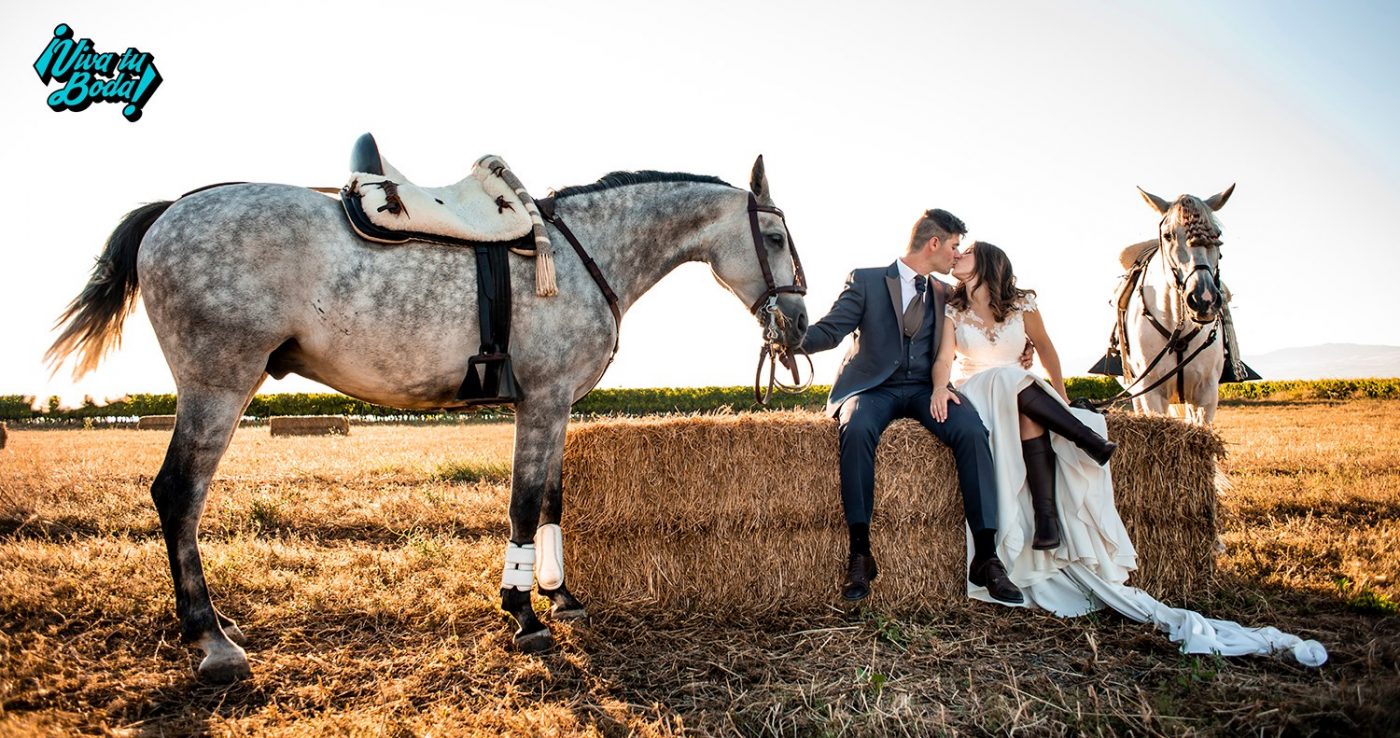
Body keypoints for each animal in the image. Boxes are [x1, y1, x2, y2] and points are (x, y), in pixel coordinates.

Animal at [46, 156, 812, 680]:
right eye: (775, 236)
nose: (798, 325)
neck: (582, 251)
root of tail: (172, 208)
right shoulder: (542, 400)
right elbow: (524, 503)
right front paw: (522, 613)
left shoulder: (559, 404)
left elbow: (554, 499)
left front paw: (559, 595)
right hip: (217, 384)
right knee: (179, 494)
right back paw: (210, 638)